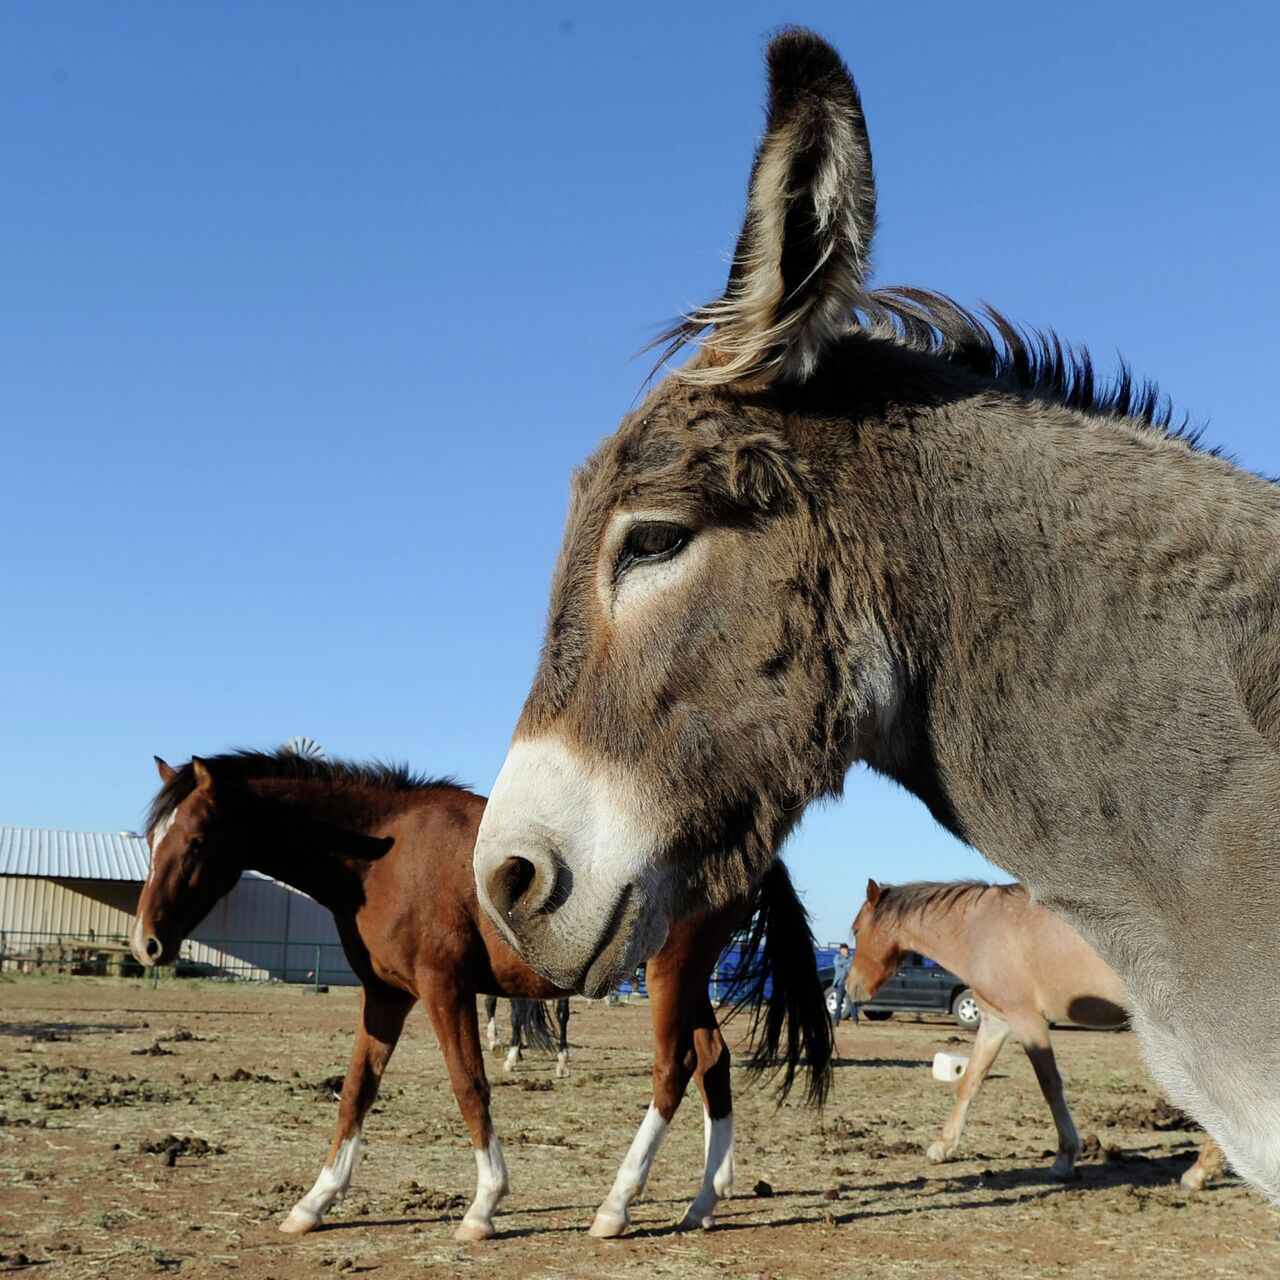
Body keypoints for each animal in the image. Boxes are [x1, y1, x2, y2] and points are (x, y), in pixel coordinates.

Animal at [129, 747, 829, 1239]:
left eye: (196, 842)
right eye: (152, 840)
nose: (147, 945)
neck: (382, 854)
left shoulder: (445, 988)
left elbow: (470, 1084)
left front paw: (485, 1205)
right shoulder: (384, 996)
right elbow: (356, 1091)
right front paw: (314, 1202)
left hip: (670, 975)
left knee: (673, 1067)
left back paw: (616, 1205)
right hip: (690, 982)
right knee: (713, 1062)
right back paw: (704, 1202)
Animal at [844, 880, 1223, 1187]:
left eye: (857, 930)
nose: (850, 987)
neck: (979, 928)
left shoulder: (1027, 1021)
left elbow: (1050, 1085)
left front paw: (1065, 1158)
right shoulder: (995, 1021)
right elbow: (970, 1080)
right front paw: (943, 1146)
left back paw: (1200, 1170)